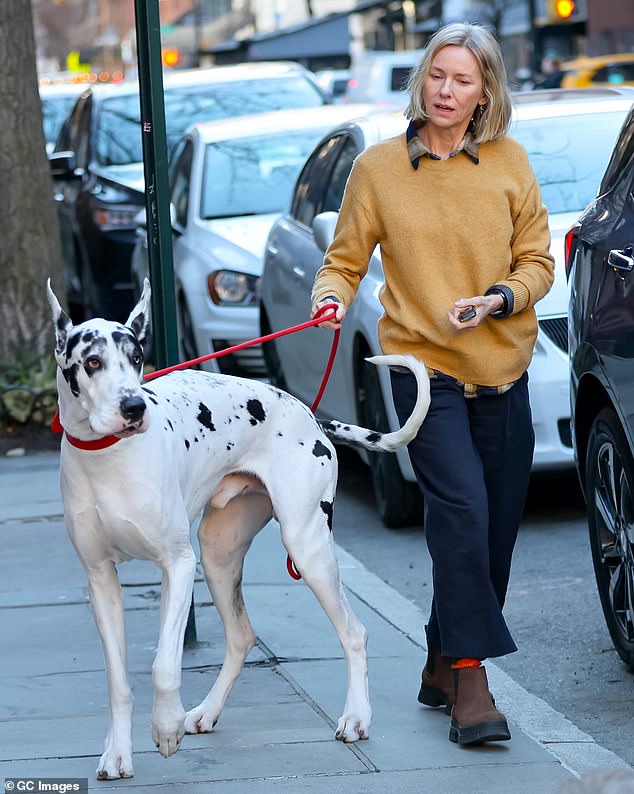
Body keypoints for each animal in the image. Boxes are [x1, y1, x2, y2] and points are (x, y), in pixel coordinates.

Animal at [47, 280, 428, 780]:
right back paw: (207, 711)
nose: (133, 406)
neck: (108, 457)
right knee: (243, 636)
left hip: (306, 547)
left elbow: (164, 665)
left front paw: (164, 728)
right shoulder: (100, 580)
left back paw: (356, 717)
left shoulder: (177, 566)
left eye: (136, 357)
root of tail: (310, 414)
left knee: (354, 632)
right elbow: (117, 679)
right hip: (217, 552)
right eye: (92, 362)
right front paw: (117, 753)